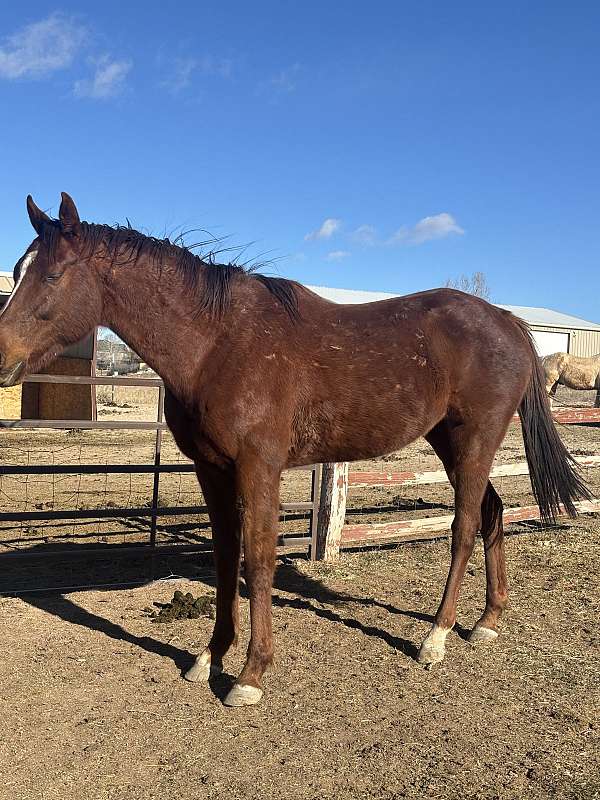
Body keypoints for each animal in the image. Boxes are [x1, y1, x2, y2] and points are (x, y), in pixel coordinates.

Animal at [0, 195, 592, 708]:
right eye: (18, 269)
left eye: (50, 274)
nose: (1, 357)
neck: (216, 344)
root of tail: (508, 320)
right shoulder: (212, 471)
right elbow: (225, 558)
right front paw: (210, 656)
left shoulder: (258, 468)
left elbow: (259, 558)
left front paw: (250, 675)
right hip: (449, 441)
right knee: (493, 512)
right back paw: (487, 621)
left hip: (474, 441)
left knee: (466, 526)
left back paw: (435, 638)